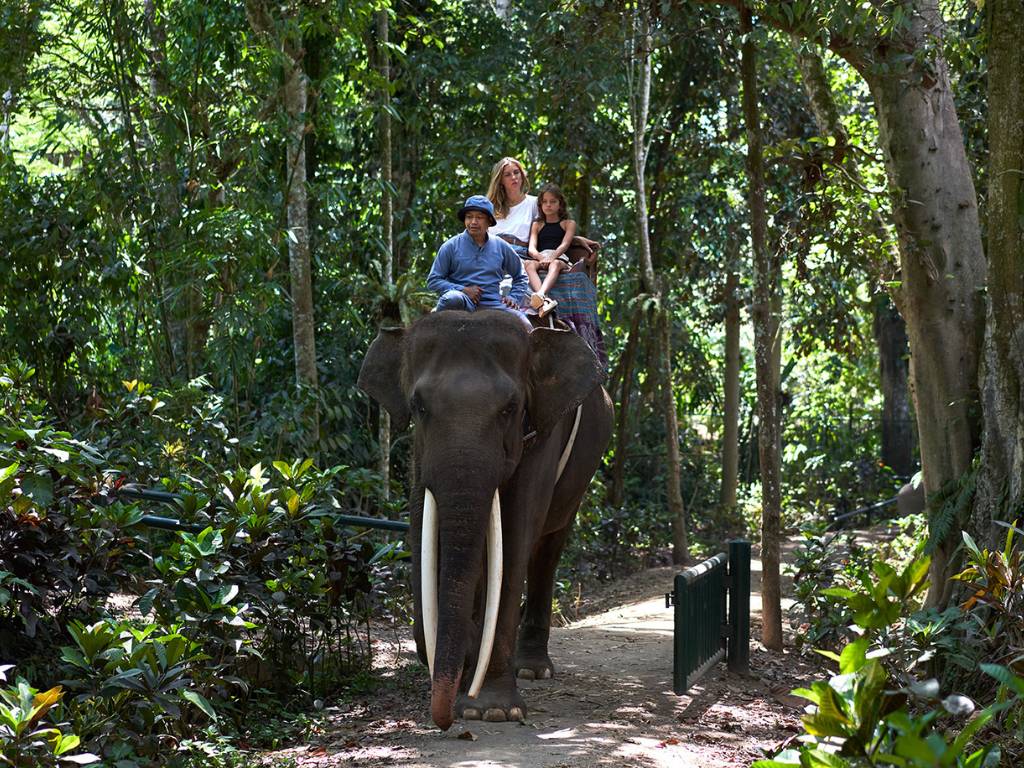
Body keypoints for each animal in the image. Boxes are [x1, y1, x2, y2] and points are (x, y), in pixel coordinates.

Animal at [360, 309, 610, 729]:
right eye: (419, 406)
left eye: (510, 408)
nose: (444, 723)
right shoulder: (421, 454)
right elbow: (422, 527)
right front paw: (461, 667)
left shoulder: (541, 434)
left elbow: (514, 536)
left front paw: (491, 709)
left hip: (580, 476)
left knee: (548, 548)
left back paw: (531, 669)